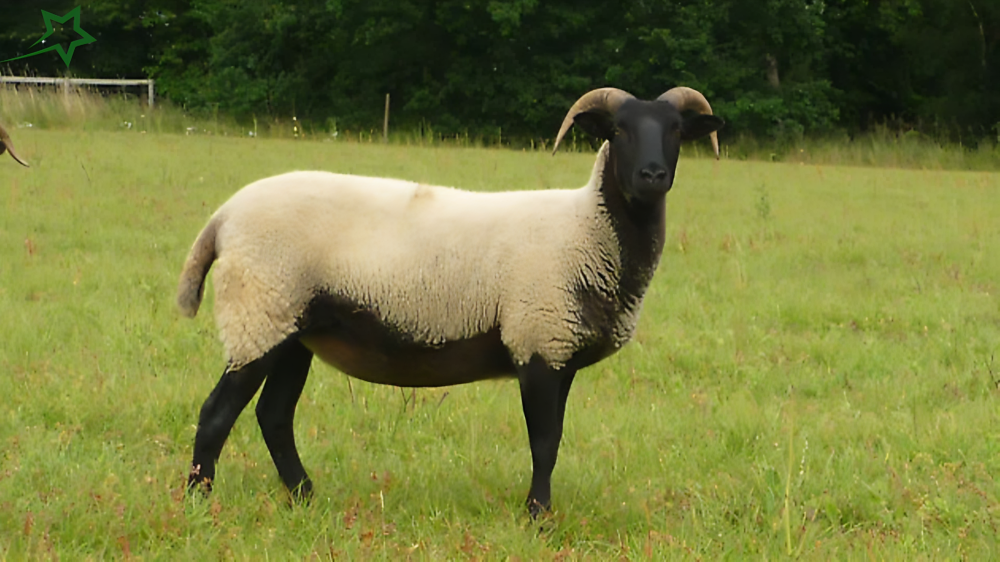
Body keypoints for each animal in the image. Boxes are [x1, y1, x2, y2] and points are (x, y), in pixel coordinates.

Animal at [180, 85, 724, 516]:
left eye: (676, 130)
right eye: (618, 130)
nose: (652, 175)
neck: (585, 230)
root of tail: (222, 217)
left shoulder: (559, 349)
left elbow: (553, 440)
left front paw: (539, 511)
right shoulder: (537, 338)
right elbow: (544, 442)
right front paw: (537, 517)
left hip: (293, 328)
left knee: (274, 417)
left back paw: (306, 498)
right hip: (258, 313)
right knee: (216, 414)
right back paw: (197, 504)